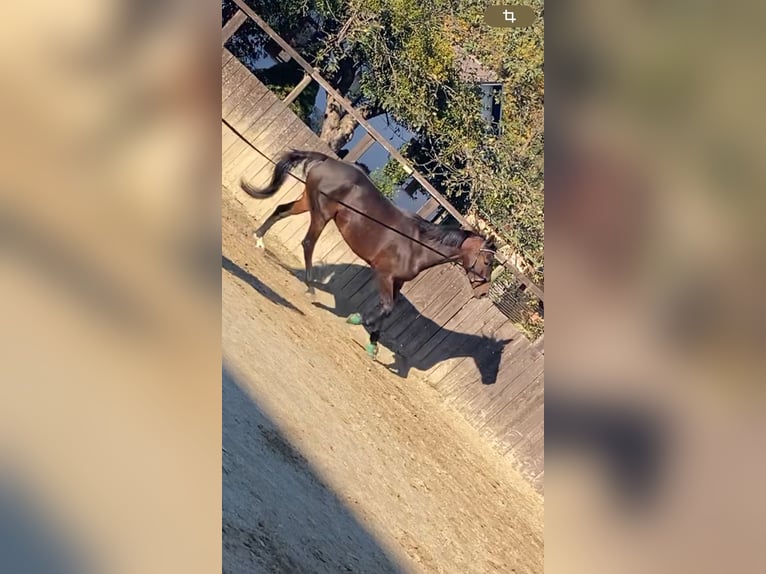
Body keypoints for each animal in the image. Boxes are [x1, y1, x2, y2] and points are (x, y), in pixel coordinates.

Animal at [240, 150, 498, 356]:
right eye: (488, 261)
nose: (483, 292)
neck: (416, 246)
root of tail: (329, 161)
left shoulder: (397, 282)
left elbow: (388, 311)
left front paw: (373, 345)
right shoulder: (383, 274)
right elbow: (386, 308)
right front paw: (358, 319)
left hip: (307, 202)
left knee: (280, 210)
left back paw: (259, 240)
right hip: (321, 214)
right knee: (307, 243)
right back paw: (310, 285)